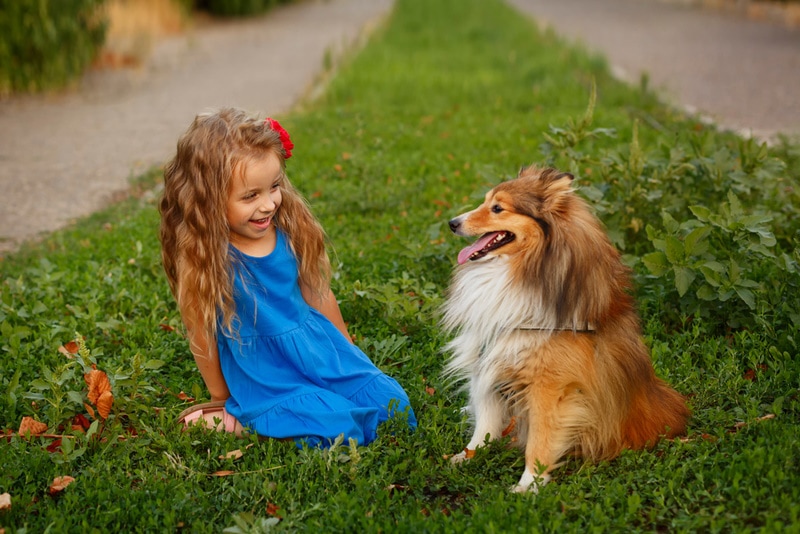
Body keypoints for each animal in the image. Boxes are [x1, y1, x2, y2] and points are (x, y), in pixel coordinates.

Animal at [444, 166, 688, 494]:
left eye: (497, 208)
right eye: (485, 202)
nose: (452, 223)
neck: (521, 271)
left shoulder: (549, 386)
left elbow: (540, 439)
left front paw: (529, 485)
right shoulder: (490, 361)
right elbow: (484, 425)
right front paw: (466, 456)